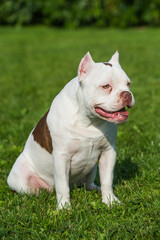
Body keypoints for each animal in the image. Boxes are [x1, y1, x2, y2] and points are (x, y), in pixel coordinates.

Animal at [7, 51, 135, 209]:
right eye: (106, 86)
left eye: (128, 84)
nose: (127, 94)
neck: (89, 120)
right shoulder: (61, 157)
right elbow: (62, 186)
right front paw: (64, 207)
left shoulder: (108, 152)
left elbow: (107, 179)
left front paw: (110, 200)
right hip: (21, 177)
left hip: (92, 168)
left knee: (88, 184)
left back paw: (95, 188)